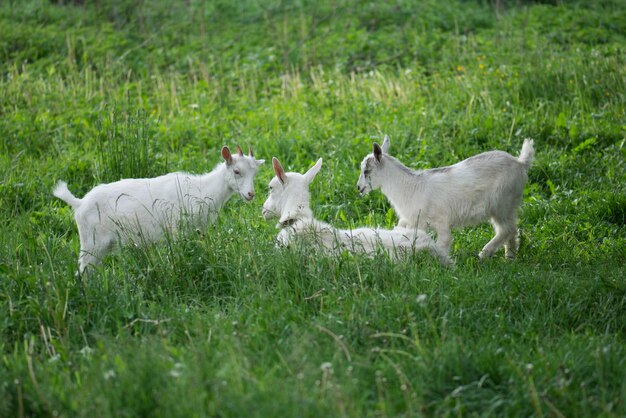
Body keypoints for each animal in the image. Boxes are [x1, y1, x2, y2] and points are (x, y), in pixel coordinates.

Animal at [54, 145, 266, 272]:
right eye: (236, 171)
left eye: (254, 173)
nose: (250, 194)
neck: (202, 189)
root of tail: (79, 203)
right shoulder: (176, 229)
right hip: (92, 243)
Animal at [356, 136, 532, 260]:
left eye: (366, 171)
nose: (358, 188)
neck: (410, 187)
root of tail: (520, 163)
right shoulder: (414, 221)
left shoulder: (441, 221)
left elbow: (443, 243)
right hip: (509, 205)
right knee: (512, 230)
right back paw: (509, 258)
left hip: (501, 203)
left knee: (506, 229)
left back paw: (484, 254)